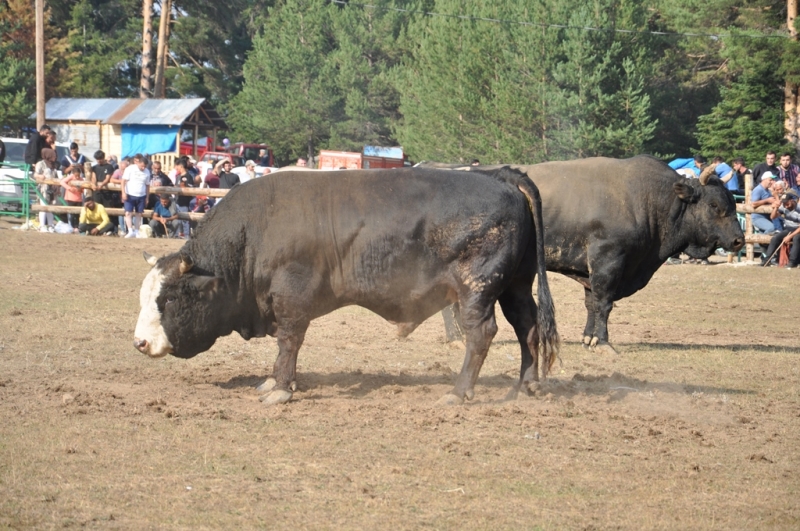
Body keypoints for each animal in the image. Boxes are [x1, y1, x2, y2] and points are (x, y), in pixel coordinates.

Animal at [133, 168, 556, 406]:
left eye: (169, 299)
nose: (139, 343)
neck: (254, 232)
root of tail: (501, 176)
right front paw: (273, 380)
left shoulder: (292, 299)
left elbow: (289, 341)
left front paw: (281, 388)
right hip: (515, 286)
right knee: (527, 327)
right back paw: (527, 385)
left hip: (476, 290)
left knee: (481, 333)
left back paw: (458, 391)